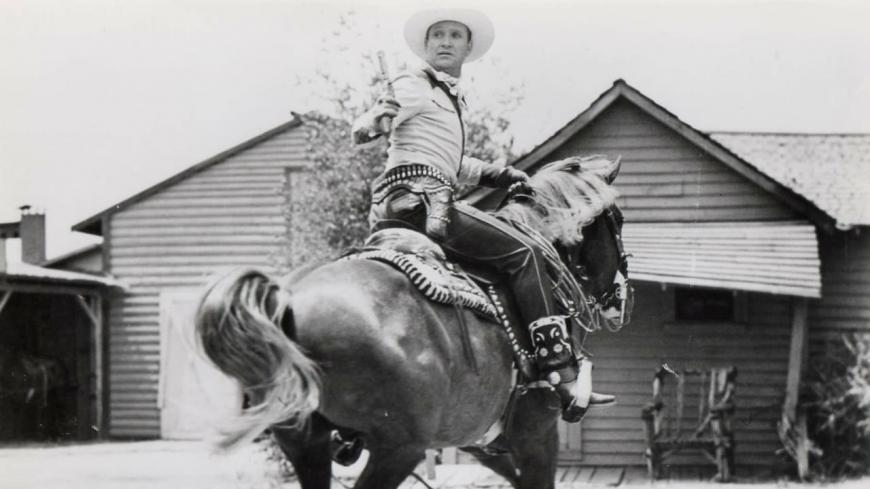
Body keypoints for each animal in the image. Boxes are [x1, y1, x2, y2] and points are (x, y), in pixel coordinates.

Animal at [196, 155, 633, 489]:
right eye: (620, 220)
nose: (620, 297)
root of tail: (289, 300)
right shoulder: (536, 433)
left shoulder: (485, 444)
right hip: (397, 449)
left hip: (307, 444)